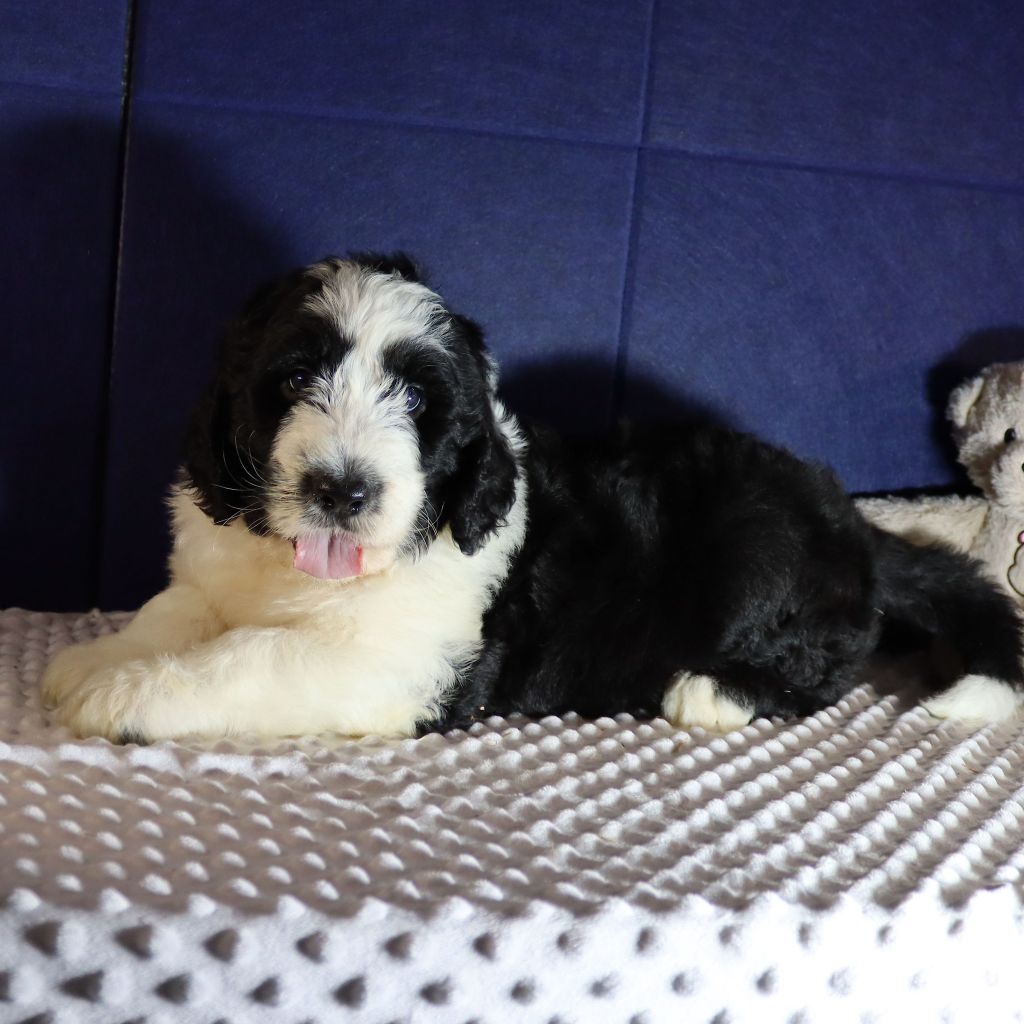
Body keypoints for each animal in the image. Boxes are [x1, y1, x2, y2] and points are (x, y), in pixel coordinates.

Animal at [43, 255, 1024, 742]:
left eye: (418, 403)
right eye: (291, 380)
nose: (342, 490)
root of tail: (854, 523)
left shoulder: (398, 662)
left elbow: (252, 657)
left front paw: (126, 694)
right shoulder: (214, 566)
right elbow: (176, 613)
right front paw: (99, 660)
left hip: (758, 549)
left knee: (827, 664)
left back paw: (714, 691)